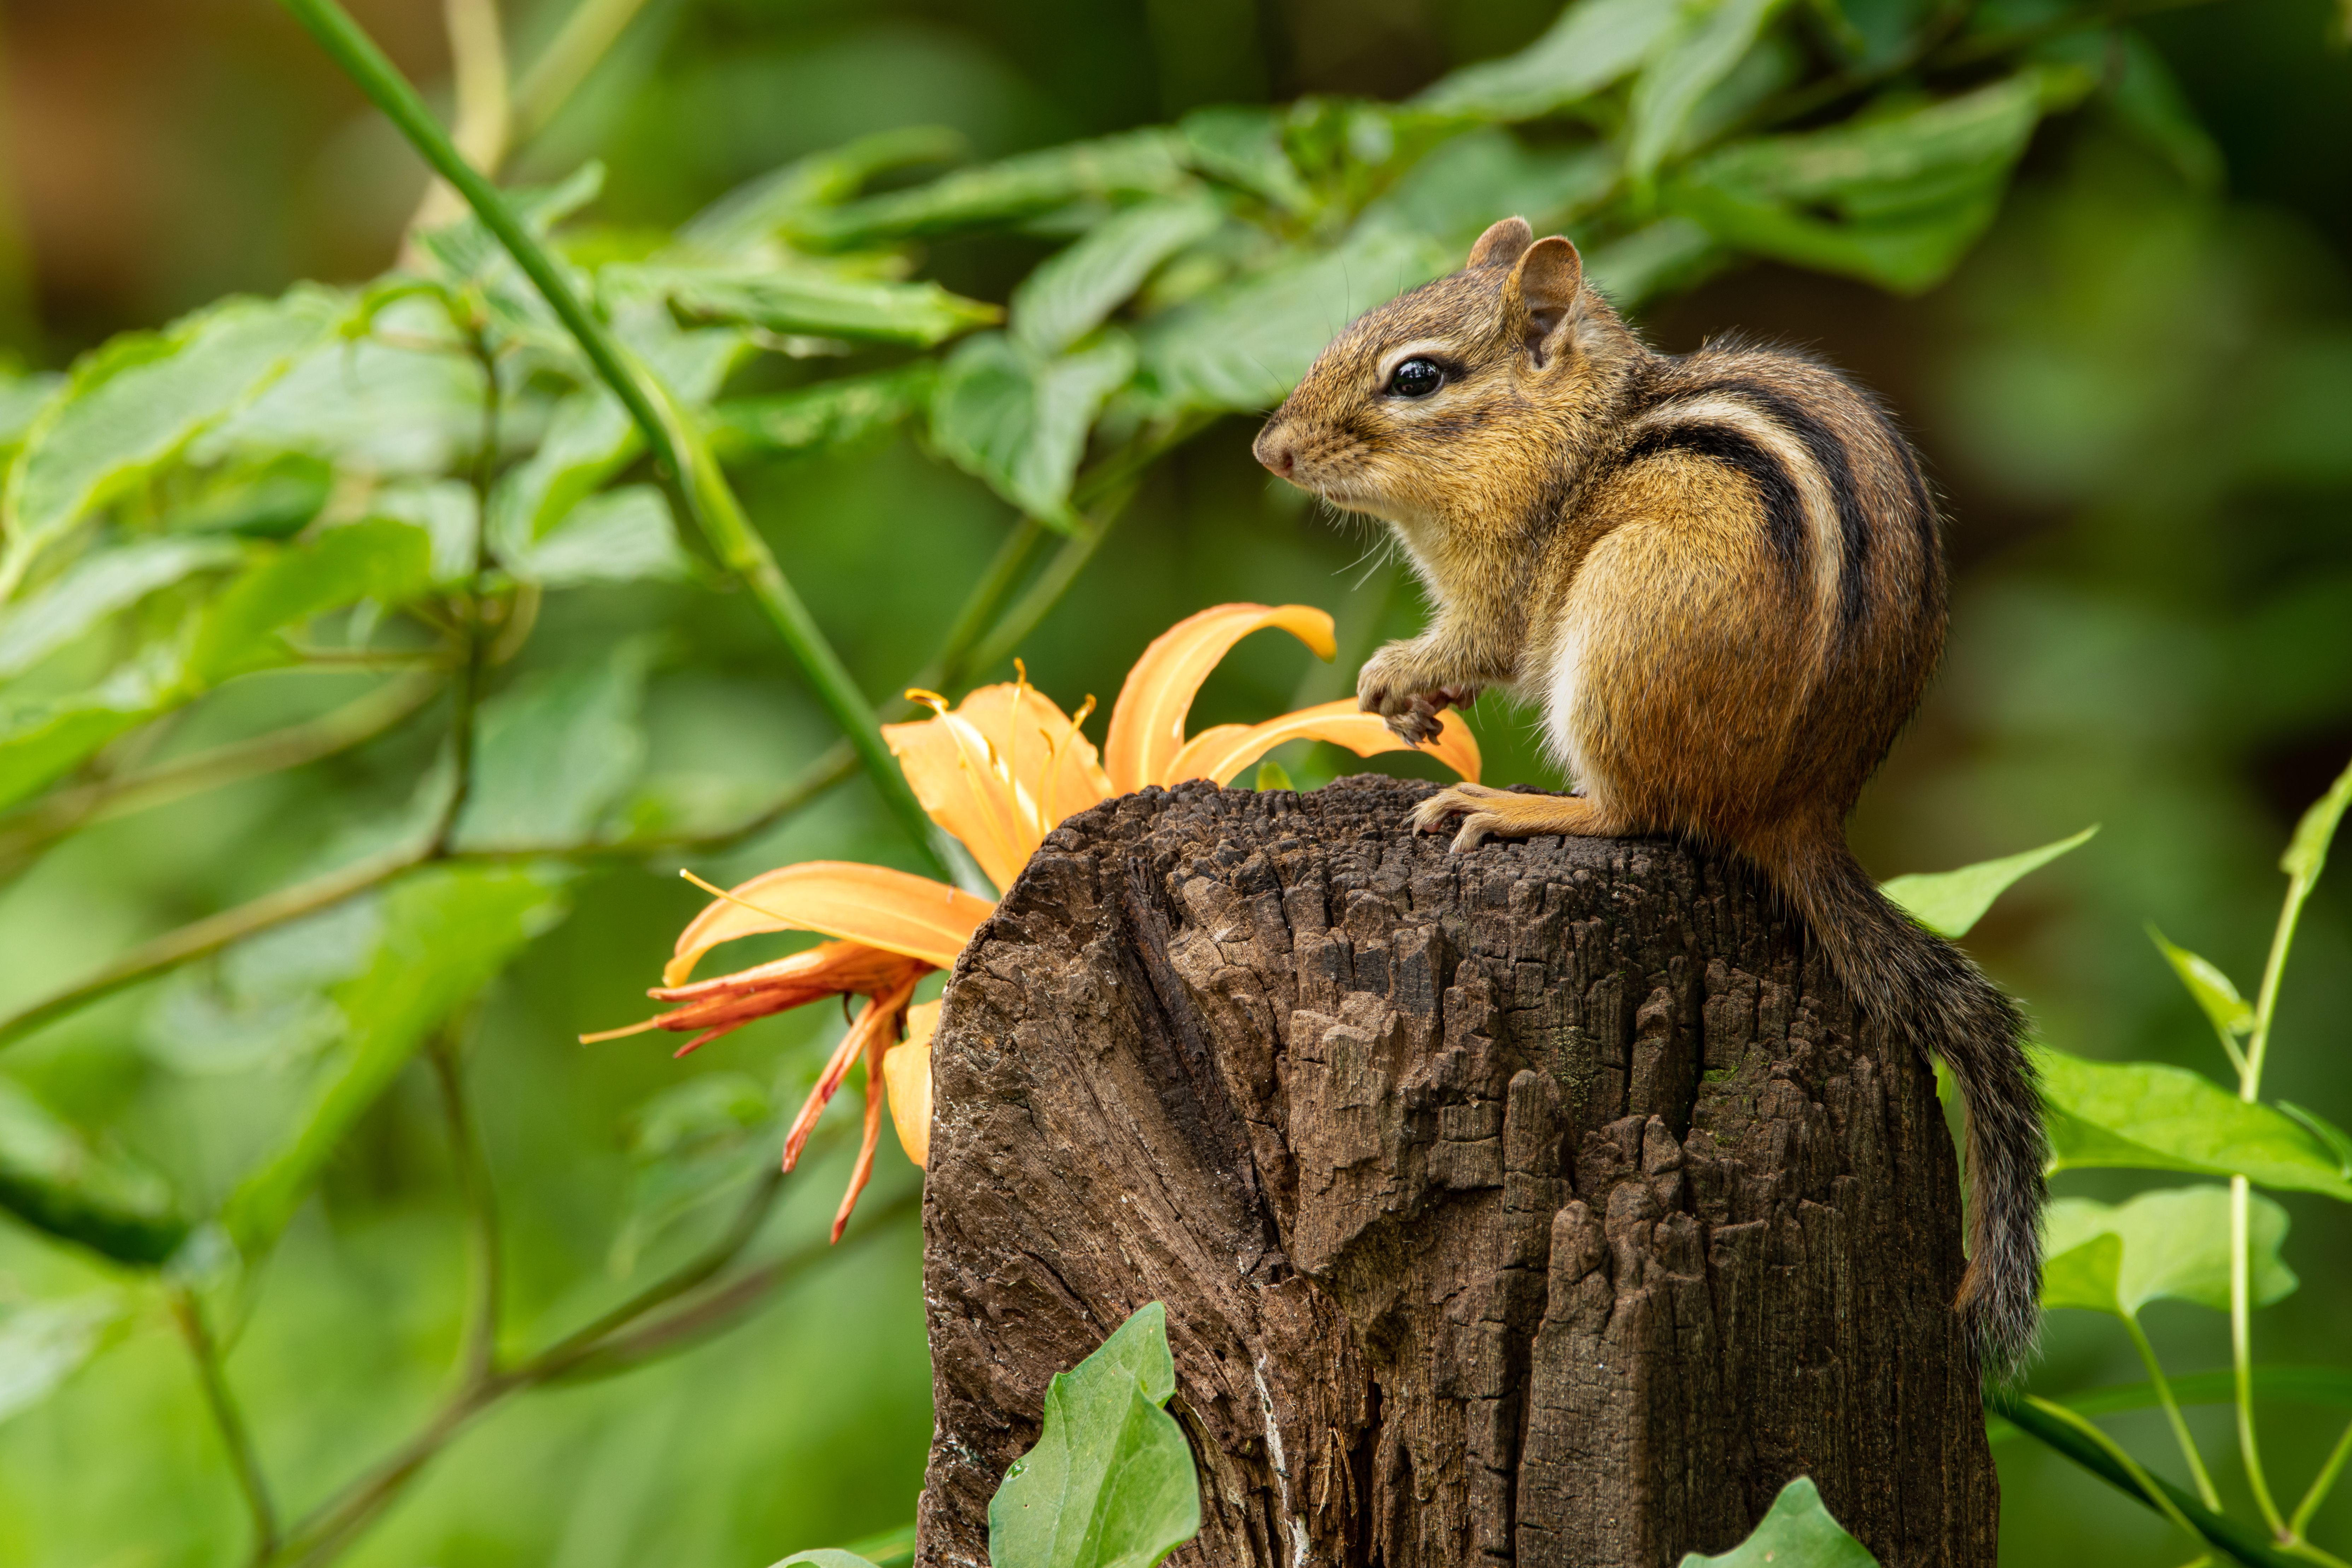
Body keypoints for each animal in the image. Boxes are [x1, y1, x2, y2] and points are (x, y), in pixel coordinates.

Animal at [1251, 215, 2045, 1377]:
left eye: (1416, 376)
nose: (1270, 450)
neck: (1565, 431)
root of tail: (1799, 810)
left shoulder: (1505, 576)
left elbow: (1480, 639)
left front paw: (1395, 676)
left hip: (1623, 618)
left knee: (1639, 813)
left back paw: (1518, 805)